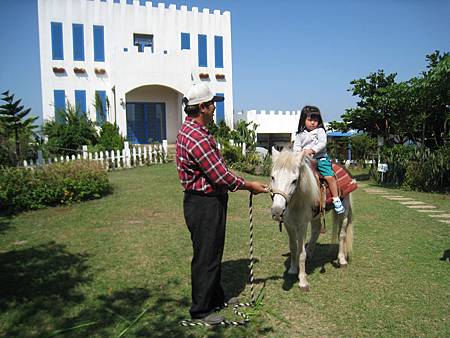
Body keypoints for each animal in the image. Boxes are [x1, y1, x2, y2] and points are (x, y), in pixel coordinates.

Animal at [268, 149, 354, 290]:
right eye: (273, 177)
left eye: (294, 180)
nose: (277, 211)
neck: (296, 202)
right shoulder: (289, 224)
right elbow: (293, 247)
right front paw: (292, 269)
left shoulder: (302, 225)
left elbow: (300, 252)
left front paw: (303, 281)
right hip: (316, 216)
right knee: (316, 229)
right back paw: (310, 252)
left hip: (345, 210)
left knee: (342, 234)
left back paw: (342, 260)